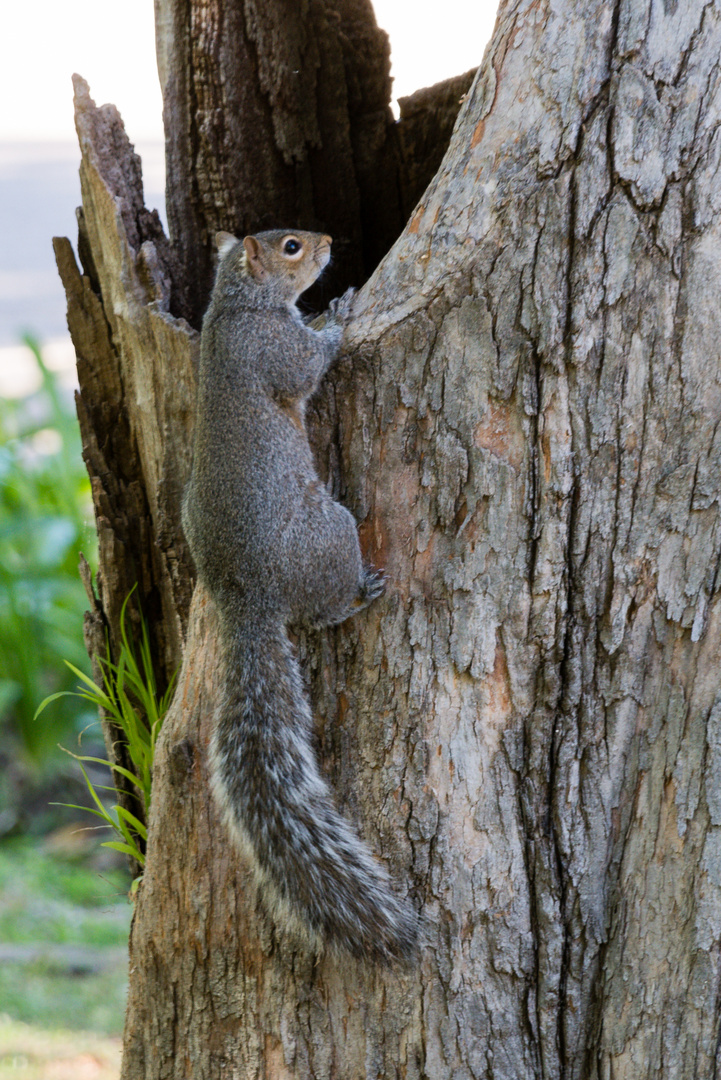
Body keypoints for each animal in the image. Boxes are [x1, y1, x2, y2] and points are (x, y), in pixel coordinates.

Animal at [180, 227, 416, 963]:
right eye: (290, 246)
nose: (329, 240)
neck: (237, 305)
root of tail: (245, 597)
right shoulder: (275, 352)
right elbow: (309, 364)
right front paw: (336, 313)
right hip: (330, 533)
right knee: (322, 612)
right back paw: (361, 593)